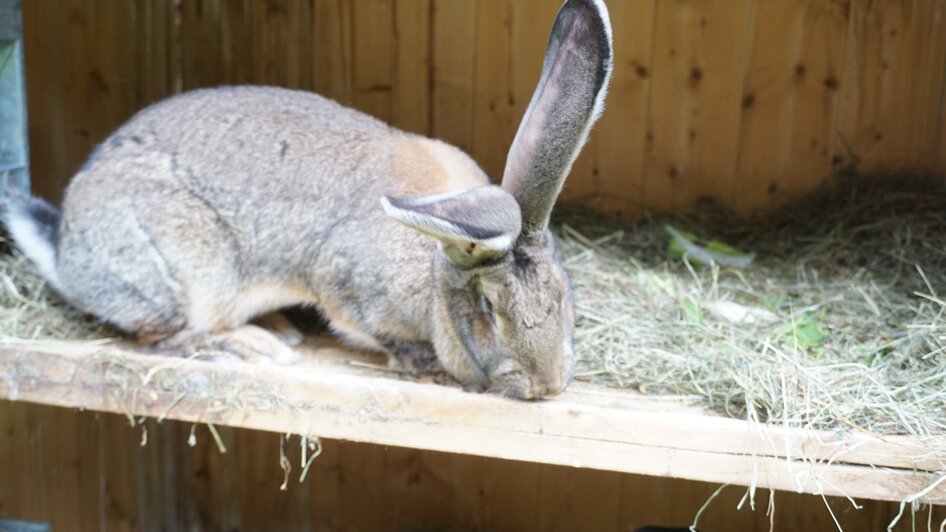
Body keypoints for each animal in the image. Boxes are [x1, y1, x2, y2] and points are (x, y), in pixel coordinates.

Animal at [5, 0, 612, 400]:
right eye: (489, 309)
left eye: (564, 294)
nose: (548, 385)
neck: (436, 268)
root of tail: (65, 249)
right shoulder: (347, 287)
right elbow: (376, 330)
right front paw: (430, 368)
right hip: (185, 269)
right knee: (161, 335)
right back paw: (251, 346)